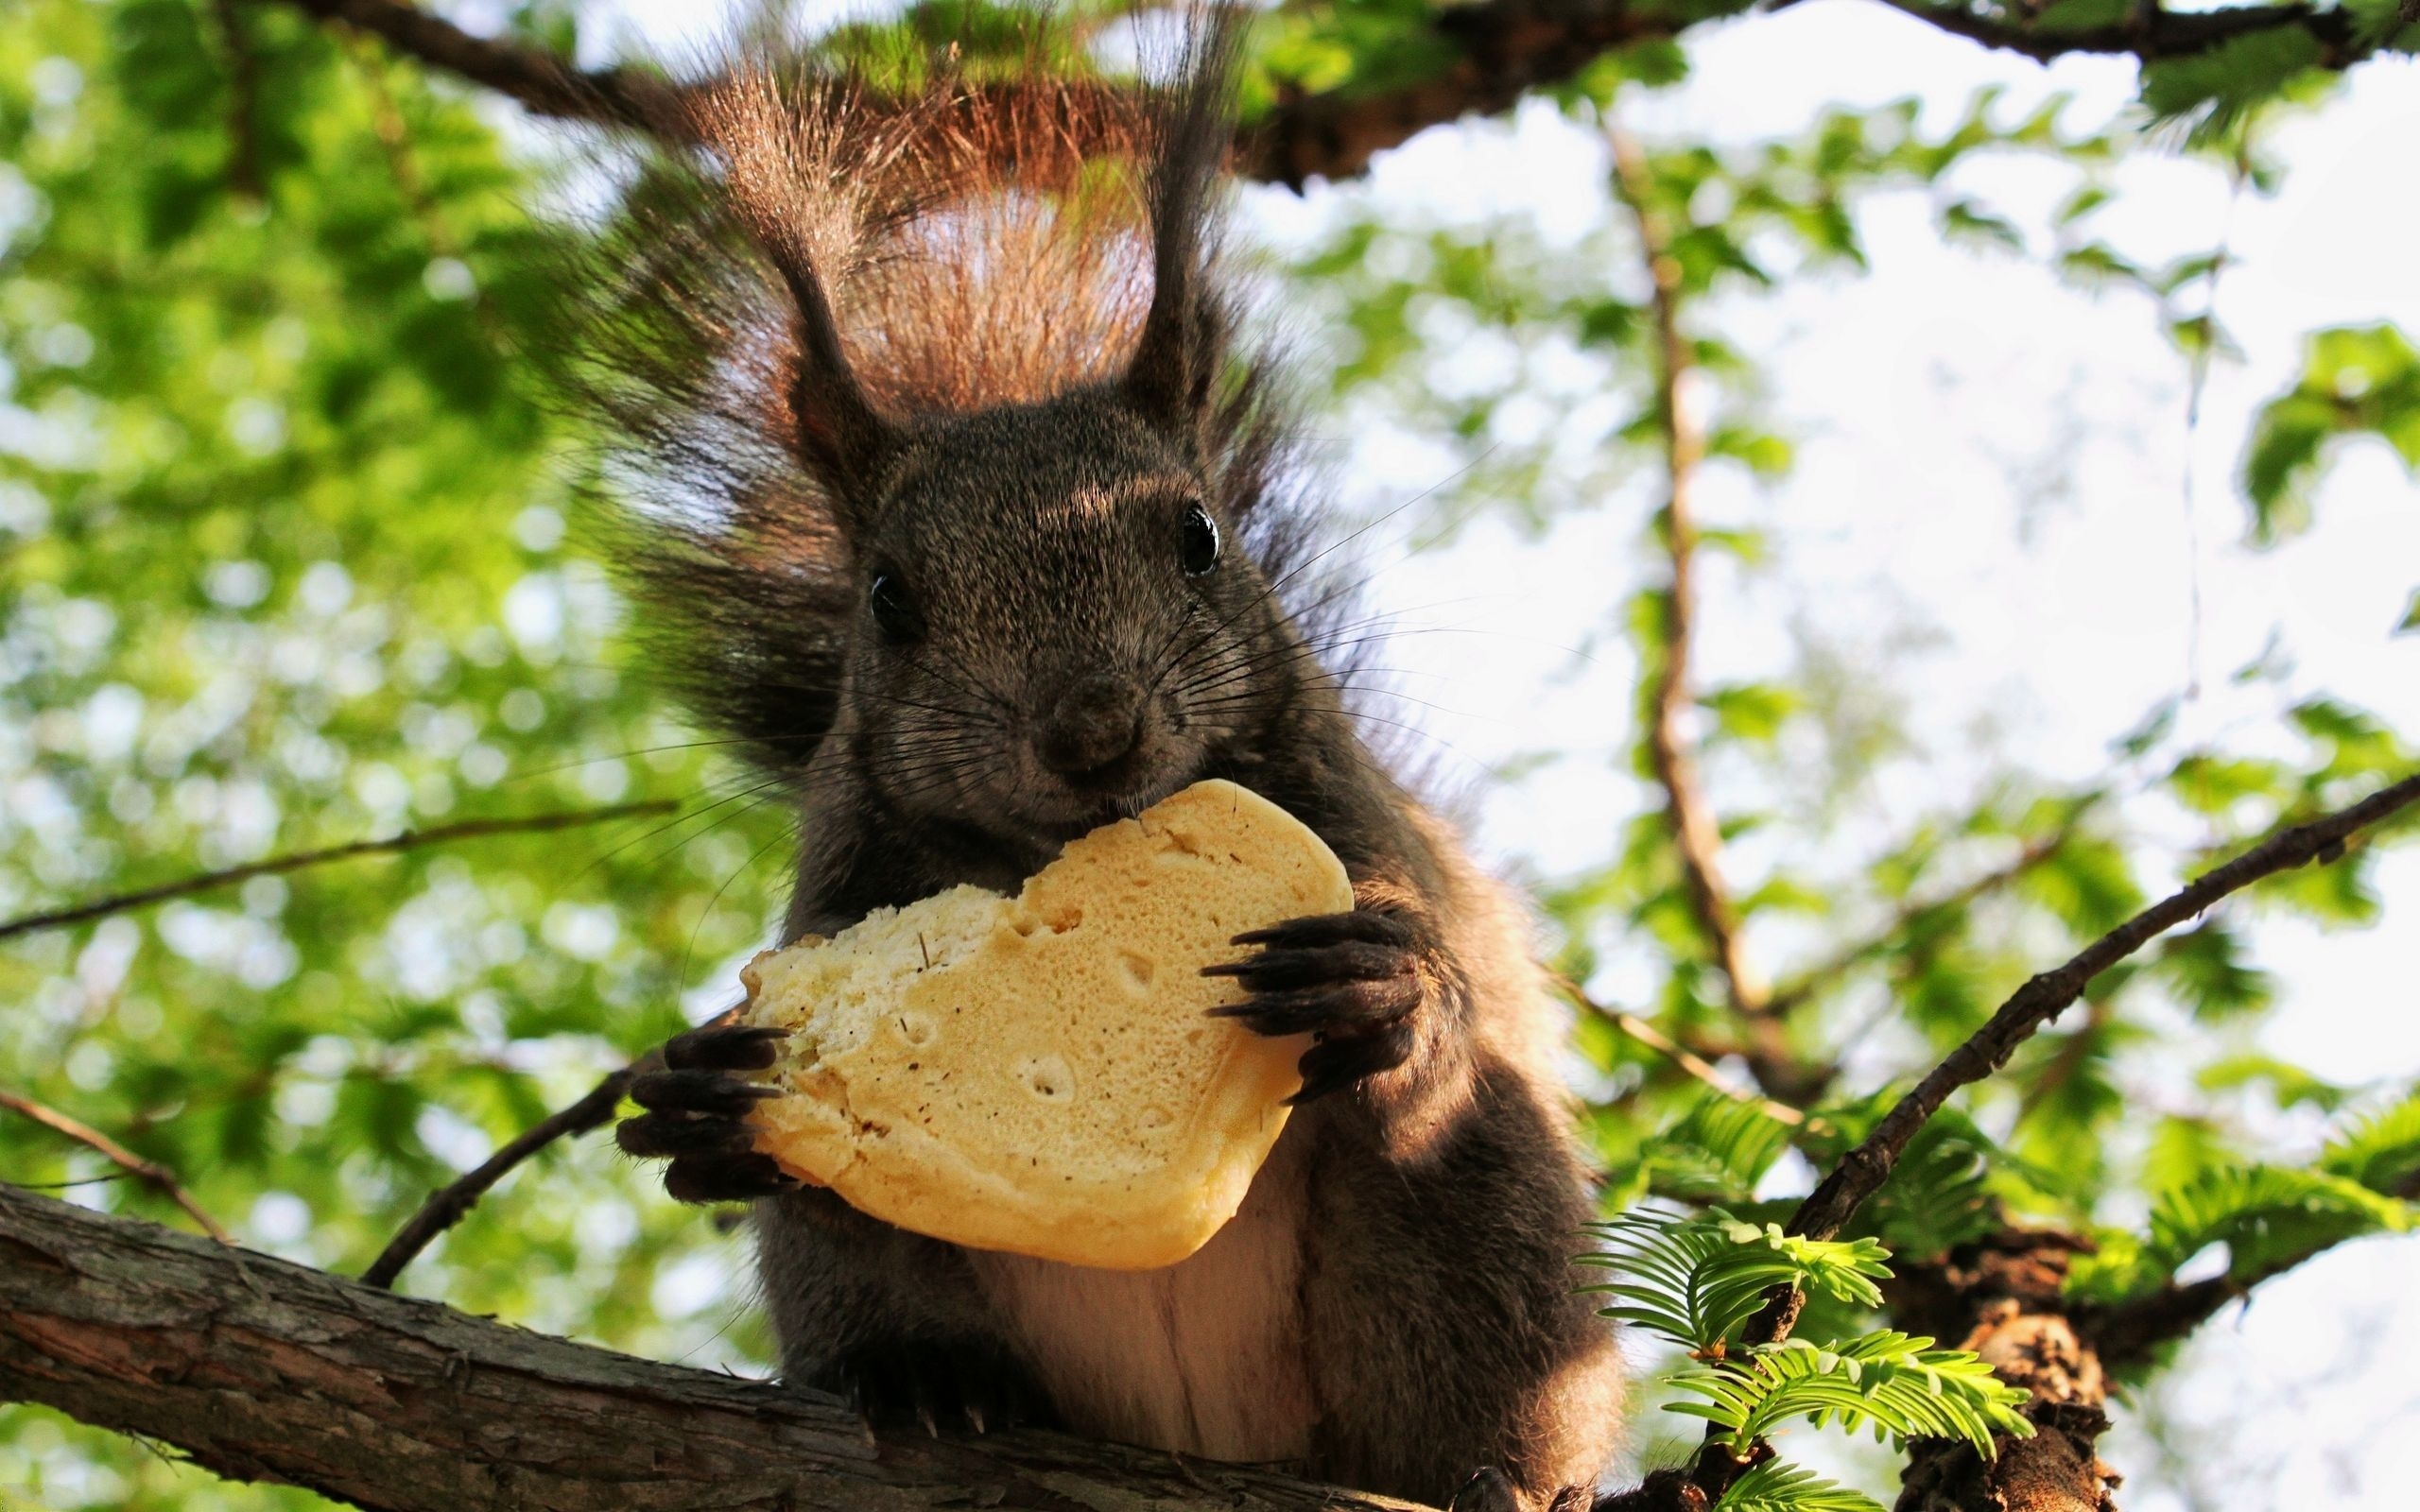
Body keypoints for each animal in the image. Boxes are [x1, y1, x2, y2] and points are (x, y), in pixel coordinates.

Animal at [597, 14, 1626, 1509]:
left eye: (1198, 537)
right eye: (886, 600)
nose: (1091, 733)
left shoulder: (1353, 818)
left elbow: (1435, 966)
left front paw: (1385, 980)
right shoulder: (840, 883)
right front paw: (694, 1098)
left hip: (1484, 1227)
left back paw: (1502, 1469)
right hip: (857, 1262)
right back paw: (924, 1379)